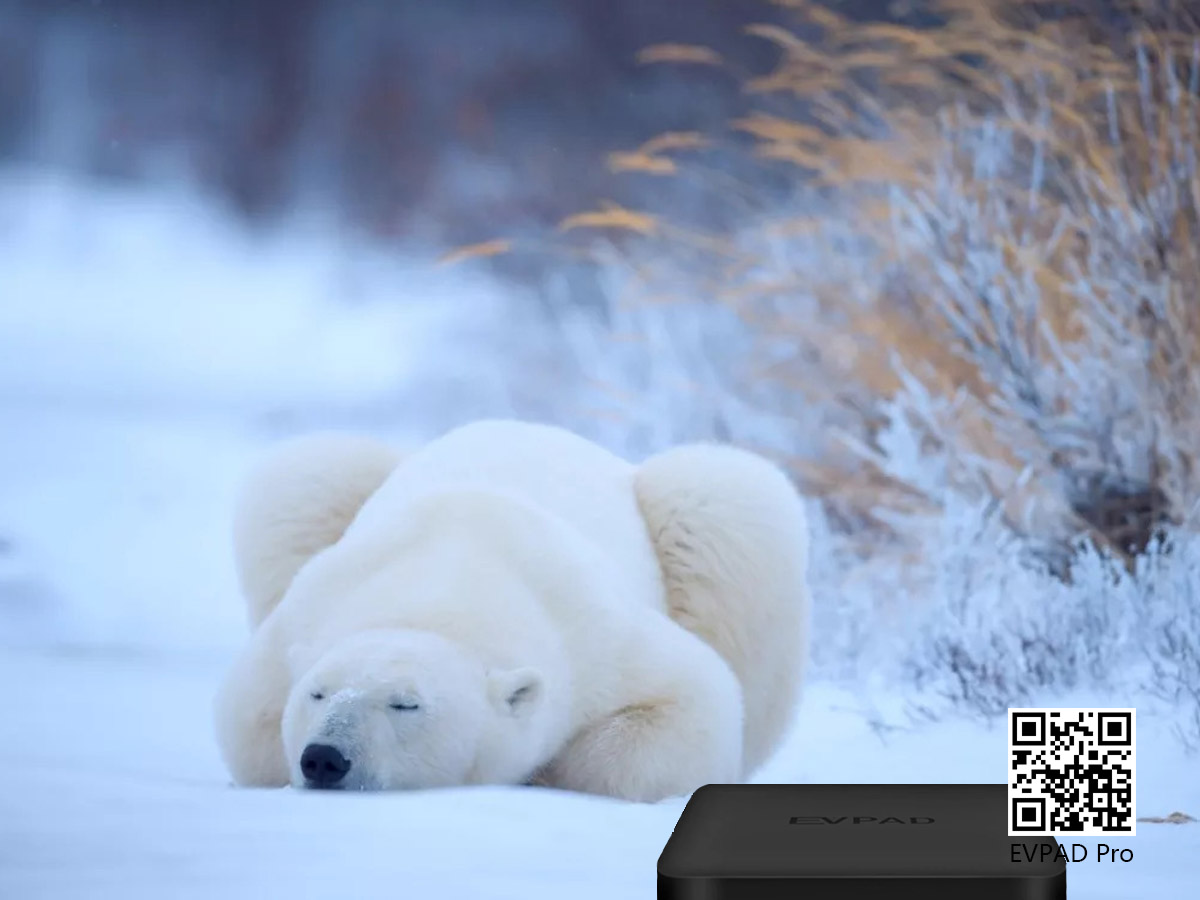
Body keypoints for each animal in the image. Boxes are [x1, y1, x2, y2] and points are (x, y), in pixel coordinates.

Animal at [217, 422, 816, 801]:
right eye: (317, 694)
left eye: (406, 704)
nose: (325, 757)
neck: (448, 578)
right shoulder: (302, 616)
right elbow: (249, 731)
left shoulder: (594, 631)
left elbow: (691, 706)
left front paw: (549, 771)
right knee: (306, 476)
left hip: (713, 519)